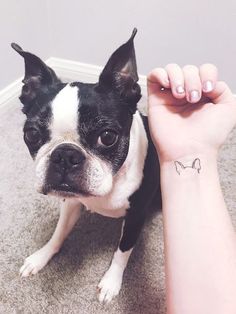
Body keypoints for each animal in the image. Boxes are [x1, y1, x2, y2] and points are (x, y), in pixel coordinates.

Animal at [12, 28, 161, 302]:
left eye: (107, 136)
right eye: (32, 134)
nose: (64, 155)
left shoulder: (135, 217)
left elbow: (122, 251)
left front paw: (111, 282)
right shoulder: (70, 202)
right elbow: (59, 232)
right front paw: (41, 256)